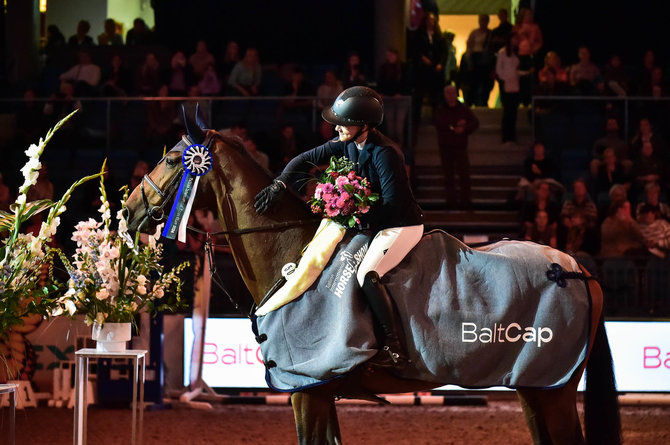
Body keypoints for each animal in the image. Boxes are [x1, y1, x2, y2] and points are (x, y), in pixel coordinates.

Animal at [127, 122, 624, 444]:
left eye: (171, 159)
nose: (130, 211)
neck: (293, 252)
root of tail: (576, 268)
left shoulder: (309, 392)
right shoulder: (319, 395)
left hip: (554, 391)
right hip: (533, 389)